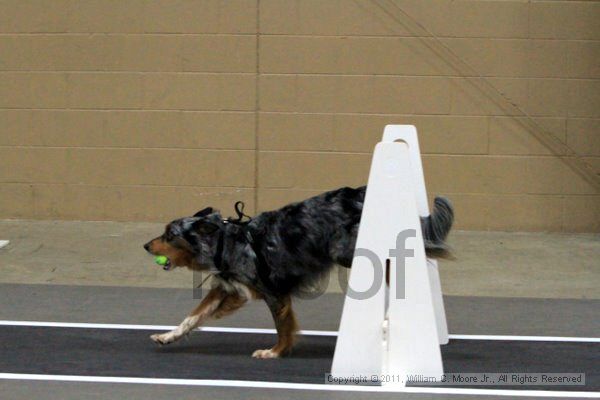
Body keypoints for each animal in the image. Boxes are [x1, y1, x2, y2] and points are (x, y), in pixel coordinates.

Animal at [145, 186, 452, 358]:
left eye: (169, 235)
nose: (146, 245)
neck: (225, 242)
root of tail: (359, 193)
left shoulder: (274, 293)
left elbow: (283, 327)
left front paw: (275, 352)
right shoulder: (228, 288)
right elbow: (192, 317)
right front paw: (168, 336)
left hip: (348, 251)